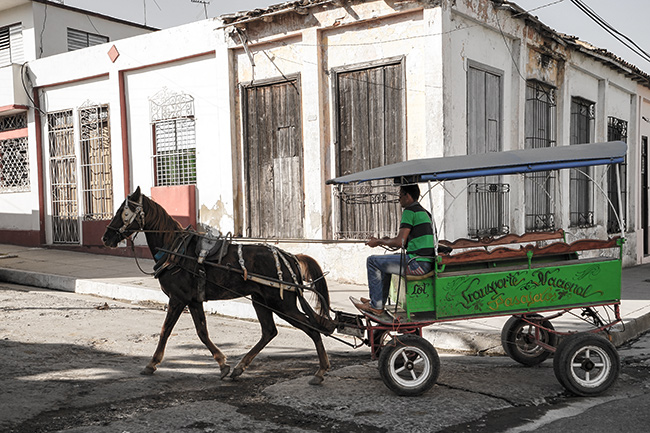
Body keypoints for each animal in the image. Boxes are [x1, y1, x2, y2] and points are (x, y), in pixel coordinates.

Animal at [102, 187, 334, 384]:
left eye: (123, 212)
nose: (106, 237)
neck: (176, 250)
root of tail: (289, 257)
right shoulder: (193, 301)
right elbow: (202, 332)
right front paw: (223, 364)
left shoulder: (178, 299)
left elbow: (165, 331)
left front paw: (152, 363)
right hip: (261, 301)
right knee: (269, 331)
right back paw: (240, 367)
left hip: (282, 304)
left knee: (312, 329)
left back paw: (321, 371)